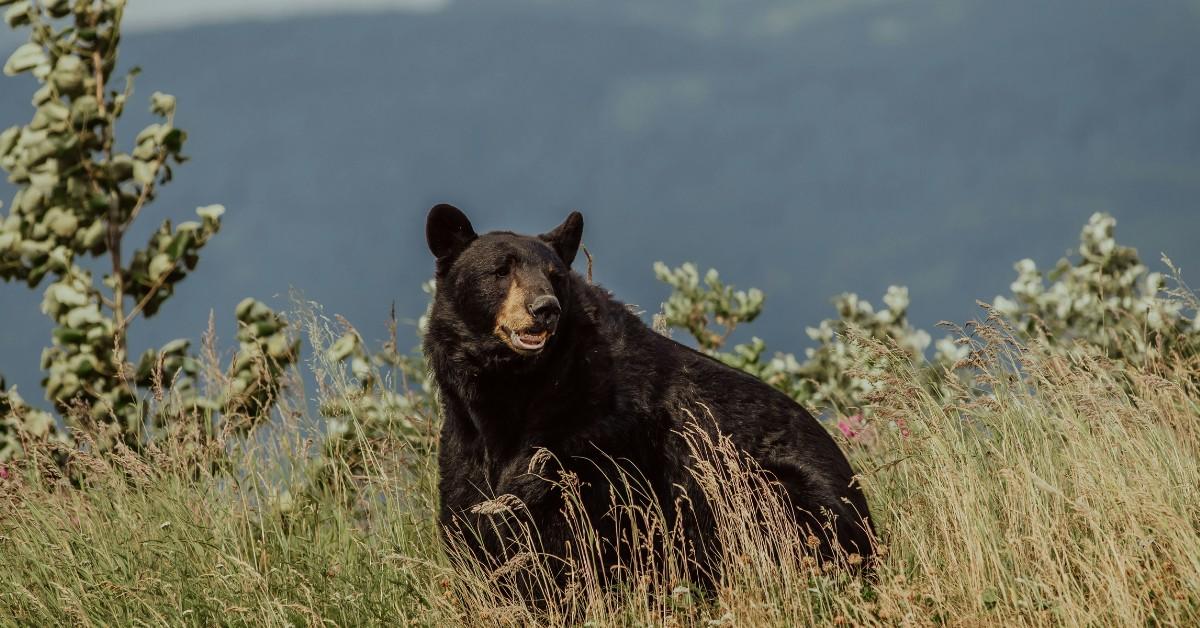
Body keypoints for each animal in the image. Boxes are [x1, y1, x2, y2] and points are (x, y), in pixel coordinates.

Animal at [423, 203, 874, 592]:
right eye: (501, 270)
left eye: (555, 276)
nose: (545, 308)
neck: (515, 389)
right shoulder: (465, 438)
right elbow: (470, 513)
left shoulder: (596, 435)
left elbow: (571, 525)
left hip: (772, 489)